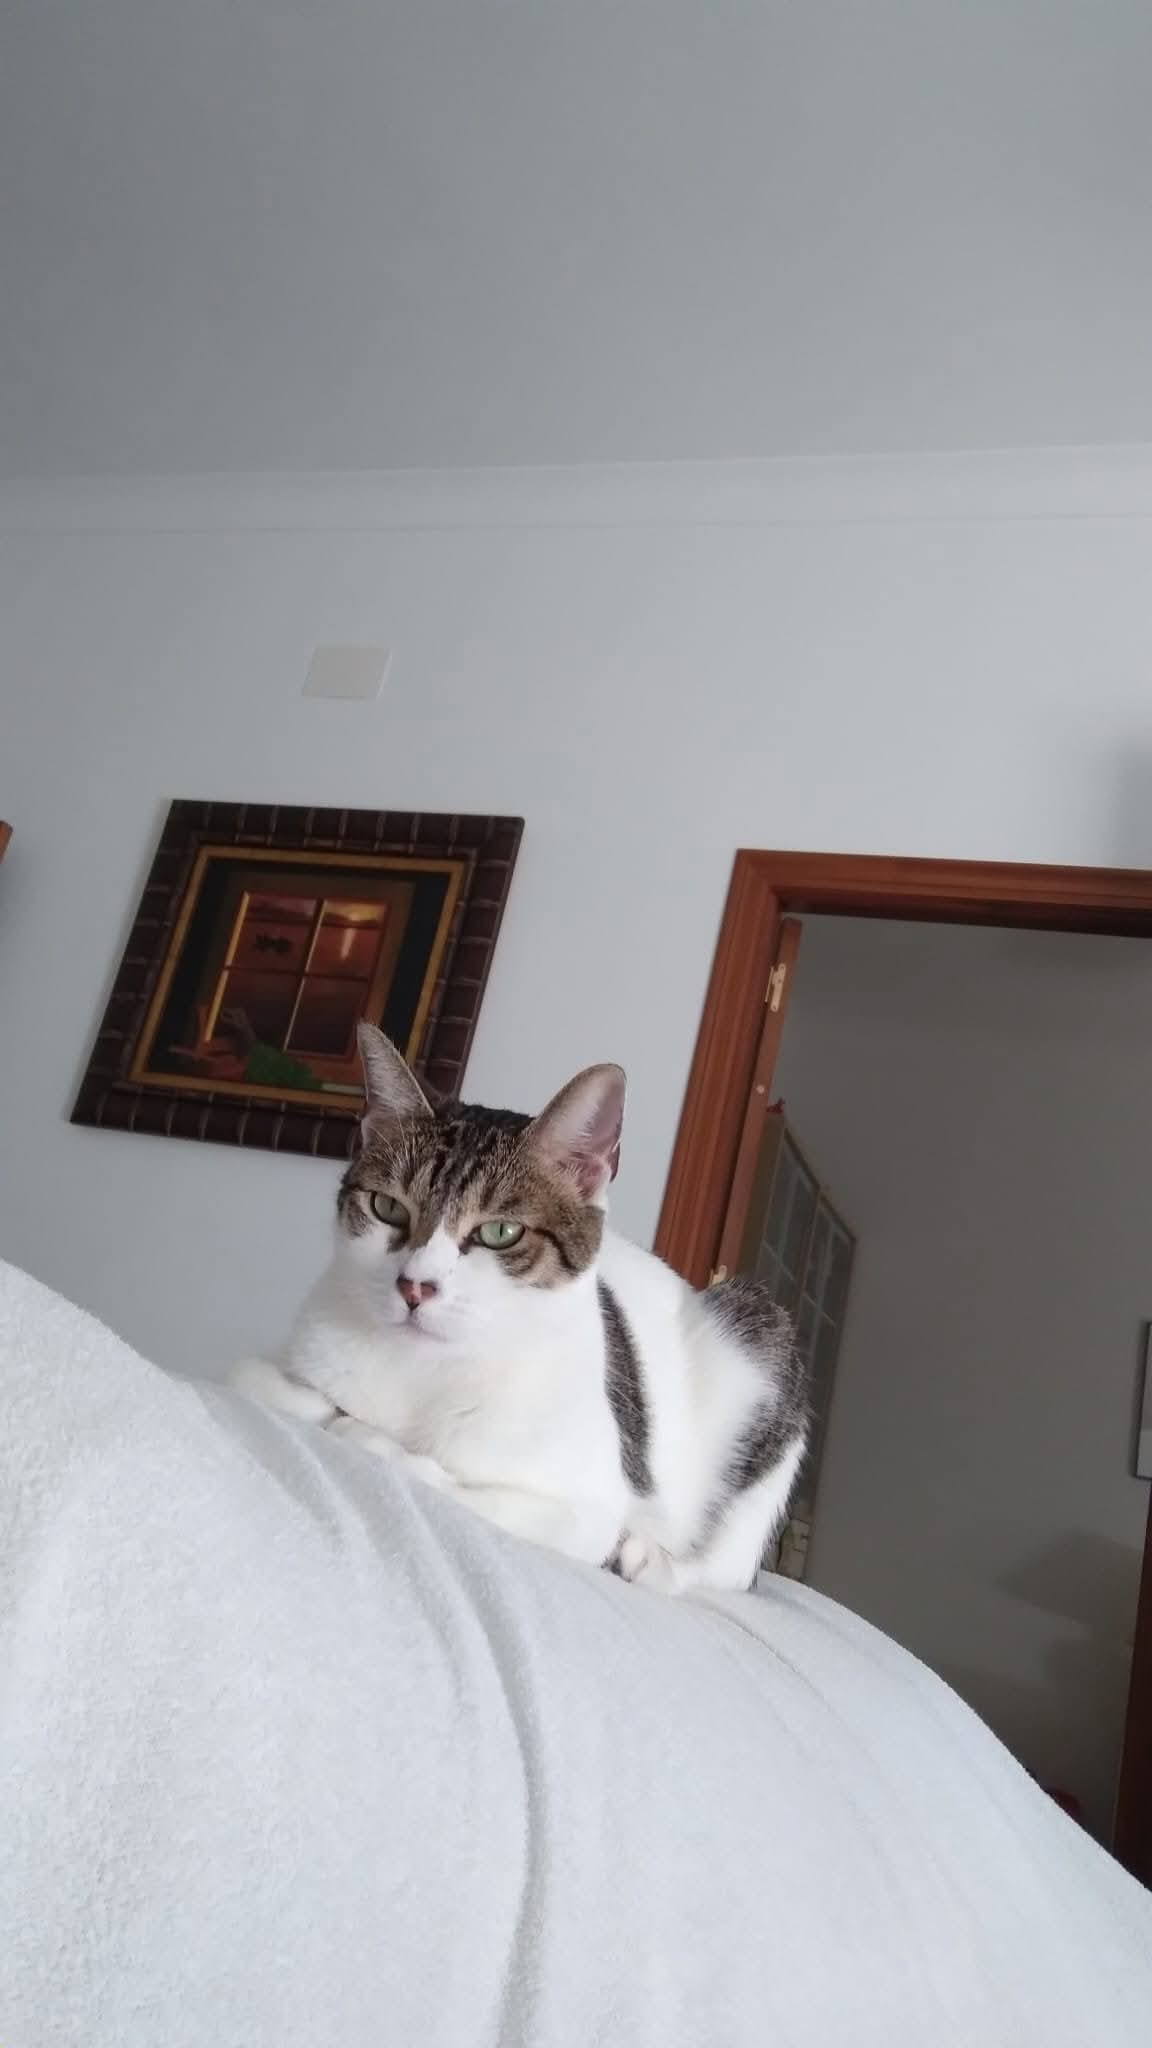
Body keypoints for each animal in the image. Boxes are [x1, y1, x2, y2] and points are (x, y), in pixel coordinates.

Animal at [232, 1024, 808, 1594]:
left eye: (500, 1232)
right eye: (388, 1207)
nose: (415, 1287)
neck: (426, 1370)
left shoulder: (584, 1507)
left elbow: (442, 1477)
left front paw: (369, 1438)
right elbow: (262, 1380)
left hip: (763, 1335)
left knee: (719, 1572)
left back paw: (646, 1559)